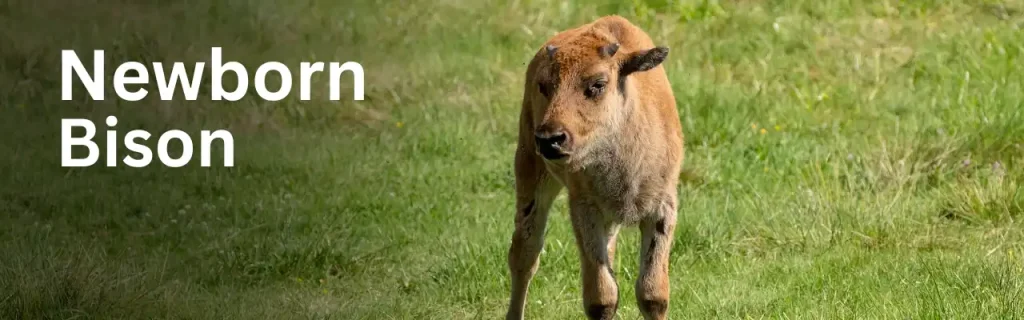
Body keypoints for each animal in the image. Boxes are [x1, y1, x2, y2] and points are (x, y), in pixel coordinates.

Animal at [501, 14, 679, 320]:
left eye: (597, 84)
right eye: (544, 86)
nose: (549, 139)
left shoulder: (662, 207)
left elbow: (652, 293)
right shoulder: (585, 208)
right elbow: (601, 297)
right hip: (531, 171)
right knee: (525, 254)